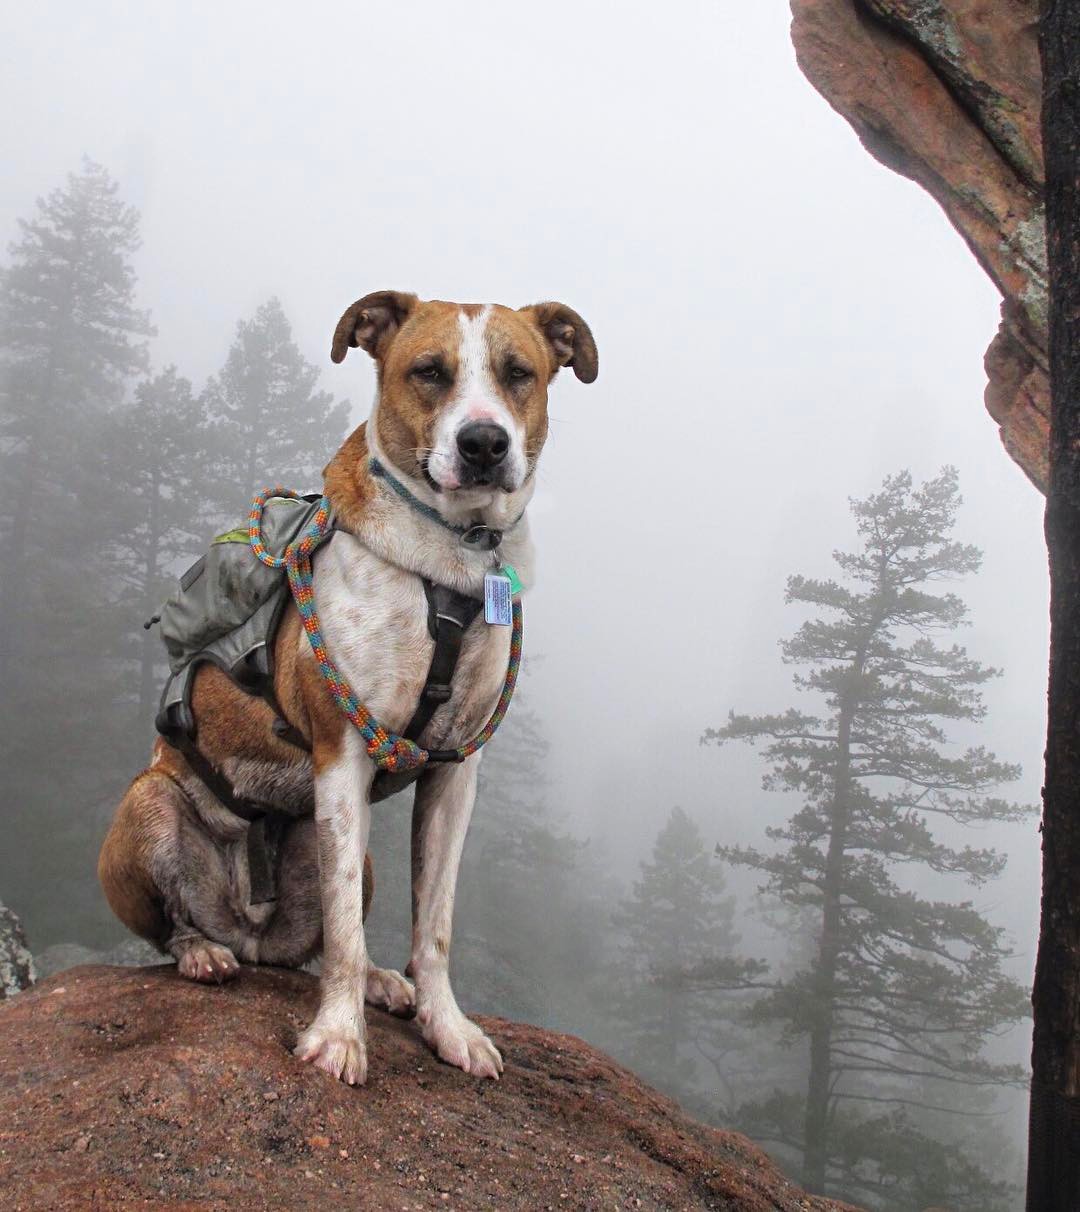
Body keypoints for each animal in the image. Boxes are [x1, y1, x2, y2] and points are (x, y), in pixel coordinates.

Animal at [99, 290, 598, 1081]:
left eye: (519, 372)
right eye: (429, 371)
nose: (484, 444)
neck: (452, 560)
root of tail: (251, 931)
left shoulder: (457, 771)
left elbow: (435, 923)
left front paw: (446, 1026)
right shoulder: (342, 754)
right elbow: (341, 928)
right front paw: (337, 1036)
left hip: (353, 856)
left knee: (317, 942)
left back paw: (374, 981)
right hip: (150, 807)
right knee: (183, 928)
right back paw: (203, 951)